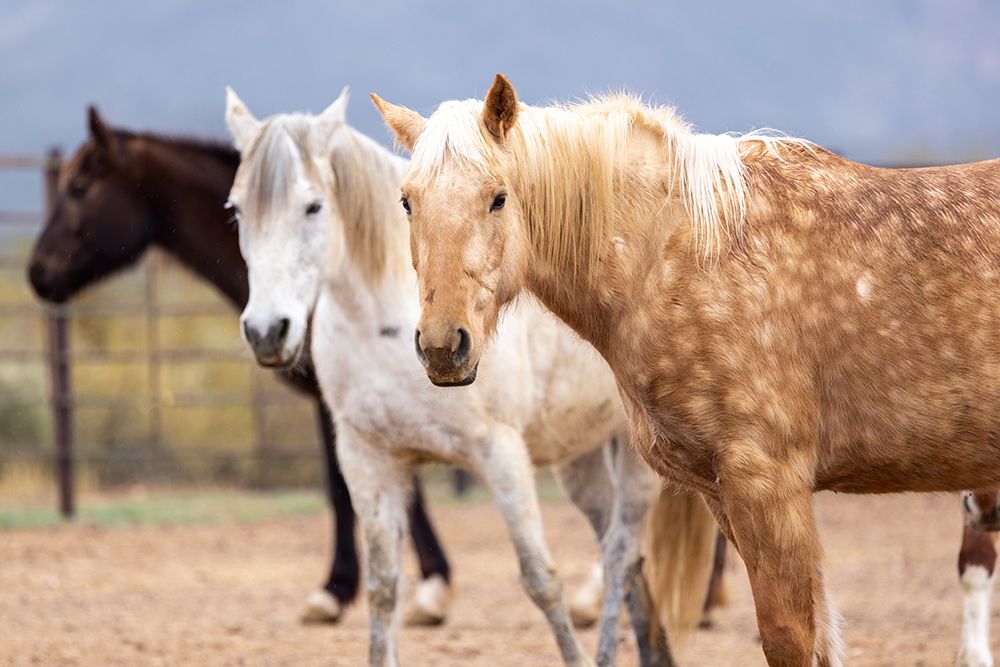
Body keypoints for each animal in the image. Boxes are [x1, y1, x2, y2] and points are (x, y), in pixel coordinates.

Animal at [224, 86, 718, 667]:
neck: (382, 321)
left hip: (635, 458)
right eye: (237, 210)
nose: (266, 331)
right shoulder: (368, 460)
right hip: (580, 459)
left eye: (313, 206)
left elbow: (542, 580)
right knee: (626, 557)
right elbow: (384, 591)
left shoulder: (499, 453)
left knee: (621, 555)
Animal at [373, 73, 1000, 666]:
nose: (442, 345)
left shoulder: (770, 489)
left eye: (498, 197)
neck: (680, 254)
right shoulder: (725, 496)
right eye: (406, 201)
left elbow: (790, 639)